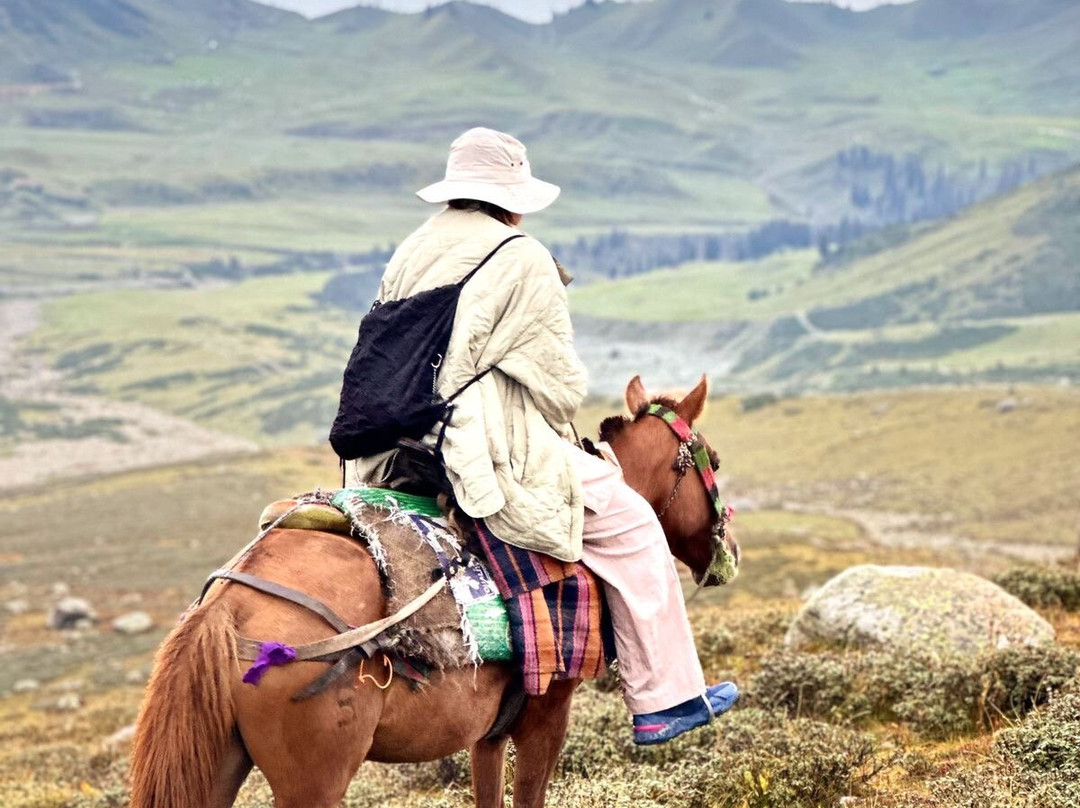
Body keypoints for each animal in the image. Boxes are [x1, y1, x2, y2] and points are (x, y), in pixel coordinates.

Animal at [129, 375, 735, 808]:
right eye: (715, 459)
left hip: (219, 764)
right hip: (313, 783)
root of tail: (226, 609)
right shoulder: (546, 717)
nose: (727, 548)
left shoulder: (488, 733)